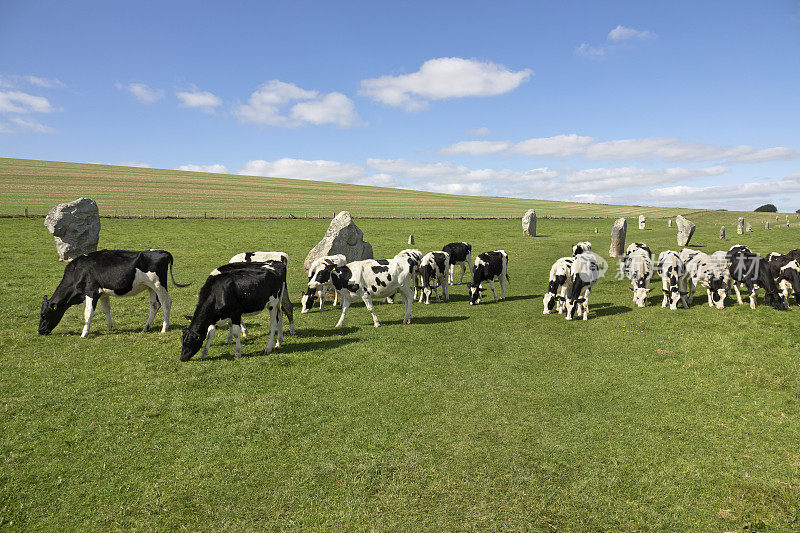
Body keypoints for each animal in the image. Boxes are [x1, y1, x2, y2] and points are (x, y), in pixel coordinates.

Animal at [38, 249, 189, 336]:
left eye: (44, 315)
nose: (39, 331)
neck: (78, 271)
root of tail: (161, 251)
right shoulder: (103, 293)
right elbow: (106, 310)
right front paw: (109, 328)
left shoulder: (91, 292)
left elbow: (88, 313)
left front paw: (84, 333)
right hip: (150, 286)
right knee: (154, 305)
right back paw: (145, 327)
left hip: (159, 285)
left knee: (166, 303)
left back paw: (164, 328)